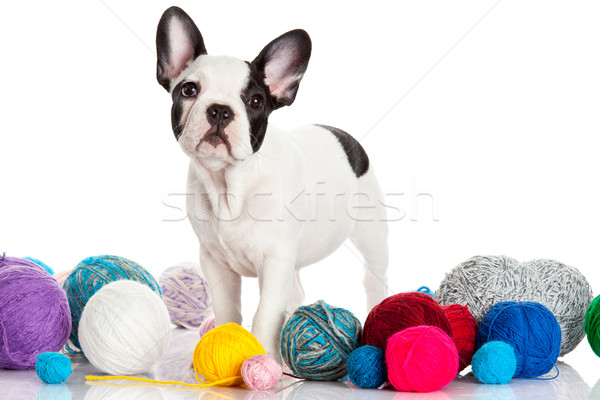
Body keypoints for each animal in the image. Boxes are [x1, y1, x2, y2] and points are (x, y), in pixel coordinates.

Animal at [155, 6, 390, 360]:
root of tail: (343, 135)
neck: (230, 185)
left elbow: (264, 314)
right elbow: (228, 310)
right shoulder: (215, 262)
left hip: (371, 234)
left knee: (375, 277)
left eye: (255, 101)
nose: (220, 110)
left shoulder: (275, 262)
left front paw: (263, 358)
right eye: (189, 90)